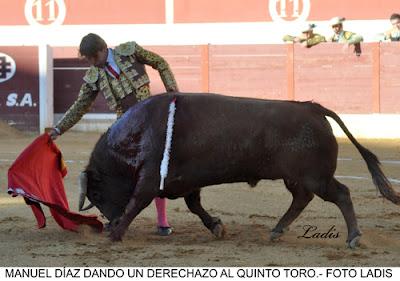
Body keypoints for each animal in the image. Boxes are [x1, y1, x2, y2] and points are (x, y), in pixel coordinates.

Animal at [81, 92, 400, 245]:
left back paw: (354, 237)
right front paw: (216, 226)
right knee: (301, 199)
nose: (109, 221)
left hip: (315, 176)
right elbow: (195, 205)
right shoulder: (186, 180)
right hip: (297, 178)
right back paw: (277, 231)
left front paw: (116, 233)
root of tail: (313, 107)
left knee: (341, 194)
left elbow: (136, 202)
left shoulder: (149, 178)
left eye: (96, 193)